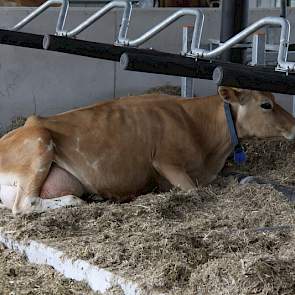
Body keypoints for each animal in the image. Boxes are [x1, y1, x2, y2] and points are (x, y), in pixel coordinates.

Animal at [0, 86, 295, 216]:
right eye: (266, 104)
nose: (294, 123)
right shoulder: (166, 162)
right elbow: (195, 191)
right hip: (39, 142)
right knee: (25, 204)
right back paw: (80, 201)